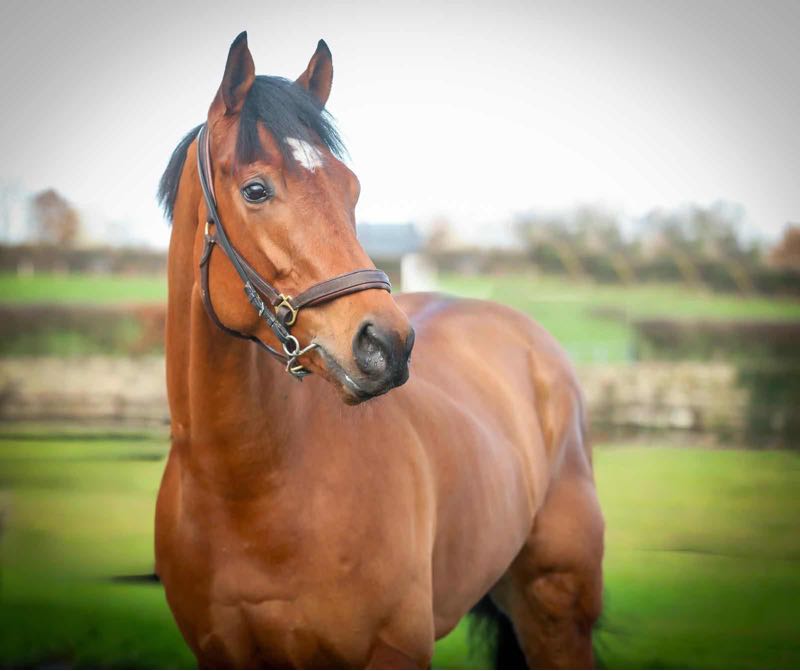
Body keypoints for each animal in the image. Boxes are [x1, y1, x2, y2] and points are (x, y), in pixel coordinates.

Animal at [155, 32, 604, 669]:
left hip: (557, 615)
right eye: (256, 189)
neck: (246, 491)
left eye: (352, 187)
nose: (386, 345)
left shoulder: (393, 651)